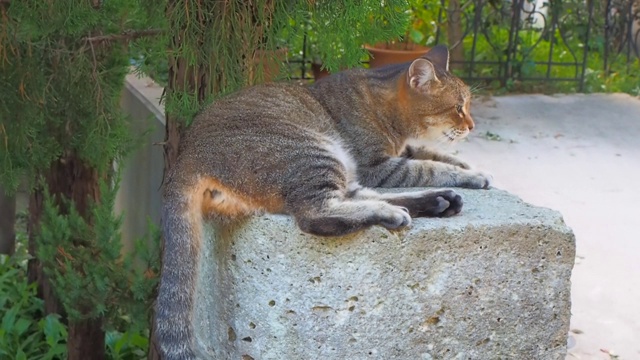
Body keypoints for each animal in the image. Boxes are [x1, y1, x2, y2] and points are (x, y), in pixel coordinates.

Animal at [154, 45, 490, 360]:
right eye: (458, 107)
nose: (472, 125)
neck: (383, 105)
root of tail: (186, 156)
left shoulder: (391, 158)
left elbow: (431, 154)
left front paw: (468, 168)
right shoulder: (378, 167)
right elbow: (428, 167)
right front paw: (470, 175)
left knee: (355, 198)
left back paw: (438, 201)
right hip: (315, 153)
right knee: (317, 214)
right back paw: (398, 210)